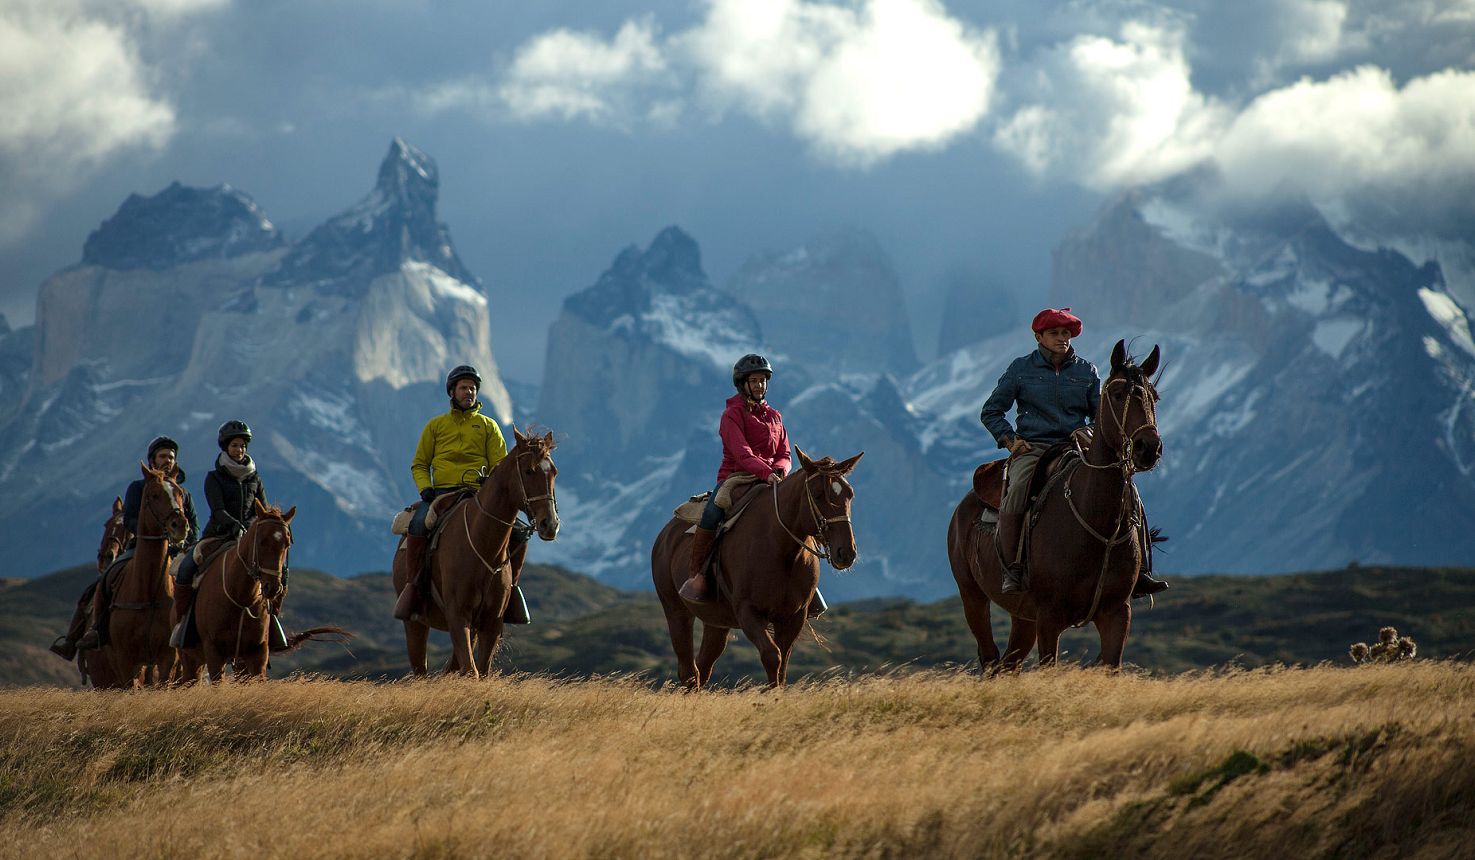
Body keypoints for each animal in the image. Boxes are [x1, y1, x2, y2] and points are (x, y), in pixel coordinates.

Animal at [96, 469, 188, 690]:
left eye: (180, 493)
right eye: (154, 495)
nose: (180, 525)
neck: (149, 592)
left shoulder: (167, 657)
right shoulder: (125, 660)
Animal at [392, 427, 563, 675]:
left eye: (554, 473)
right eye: (529, 471)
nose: (550, 524)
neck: (482, 543)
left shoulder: (491, 622)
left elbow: (480, 670)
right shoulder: (457, 616)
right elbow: (471, 671)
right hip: (414, 624)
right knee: (420, 669)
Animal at [654, 448, 861, 690]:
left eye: (849, 494)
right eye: (818, 494)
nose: (846, 553)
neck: (780, 550)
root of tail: (665, 534)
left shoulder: (793, 617)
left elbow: (783, 665)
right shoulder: (748, 612)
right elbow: (773, 656)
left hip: (716, 622)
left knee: (702, 667)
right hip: (676, 611)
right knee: (687, 670)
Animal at [949, 337, 1156, 672]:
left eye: (1154, 396)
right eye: (1117, 394)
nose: (1148, 448)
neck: (1096, 521)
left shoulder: (1117, 613)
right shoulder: (1049, 617)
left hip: (1022, 616)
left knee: (1008, 663)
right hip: (973, 596)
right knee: (990, 657)